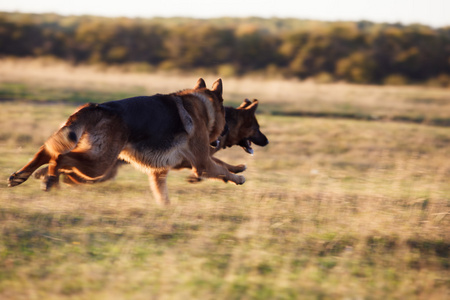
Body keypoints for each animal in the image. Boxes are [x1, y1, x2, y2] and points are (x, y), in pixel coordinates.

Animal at [7, 77, 246, 205]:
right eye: (225, 115)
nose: (225, 131)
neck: (202, 106)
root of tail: (95, 107)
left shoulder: (162, 171)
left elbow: (221, 166)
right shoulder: (202, 163)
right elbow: (221, 169)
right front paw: (238, 178)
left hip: (90, 155)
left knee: (45, 150)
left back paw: (21, 175)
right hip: (98, 164)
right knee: (59, 156)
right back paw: (50, 180)